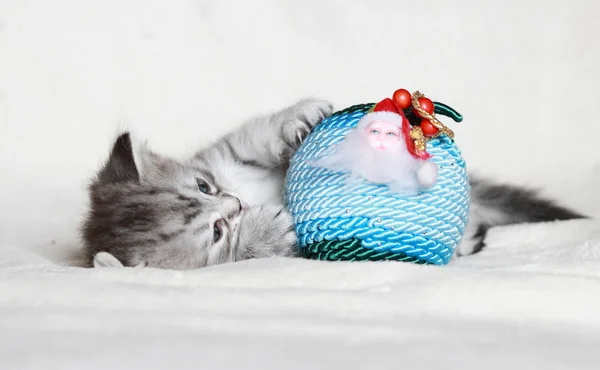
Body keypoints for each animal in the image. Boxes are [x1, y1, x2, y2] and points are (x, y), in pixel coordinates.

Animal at [79, 98, 584, 268]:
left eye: (205, 186)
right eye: (217, 233)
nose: (236, 204)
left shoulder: (222, 157)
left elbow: (249, 139)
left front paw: (295, 120)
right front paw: (263, 231)